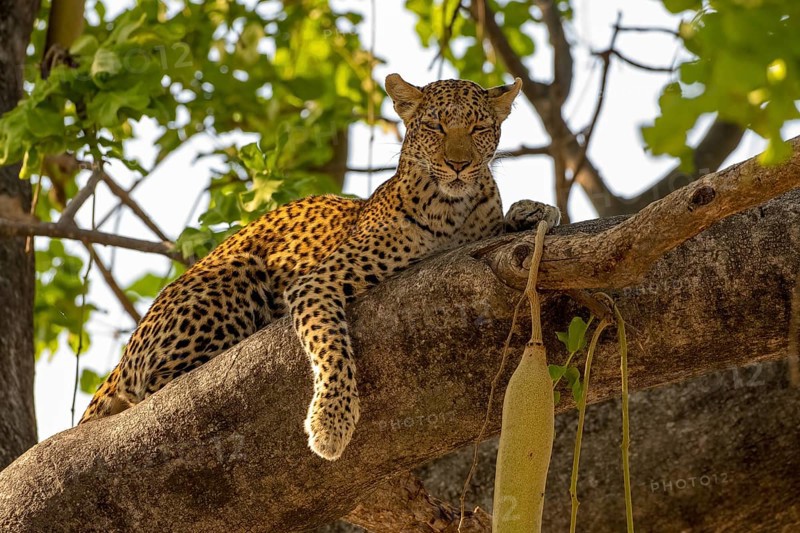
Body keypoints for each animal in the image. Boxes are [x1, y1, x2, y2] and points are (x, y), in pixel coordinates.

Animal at [79, 73, 561, 461]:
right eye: (434, 126)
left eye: (479, 128)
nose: (459, 165)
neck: (455, 211)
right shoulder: (317, 281)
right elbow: (331, 346)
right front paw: (331, 422)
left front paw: (535, 210)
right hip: (232, 273)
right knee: (152, 387)